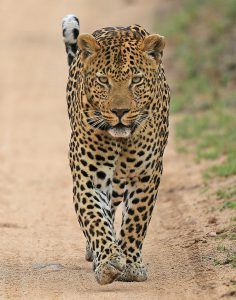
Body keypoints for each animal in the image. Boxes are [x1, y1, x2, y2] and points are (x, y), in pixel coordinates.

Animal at [61, 14, 171, 286]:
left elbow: (135, 221)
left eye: (136, 80)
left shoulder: (146, 176)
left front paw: (130, 265)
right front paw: (109, 260)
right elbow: (94, 218)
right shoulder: (89, 179)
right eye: (103, 80)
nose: (120, 112)